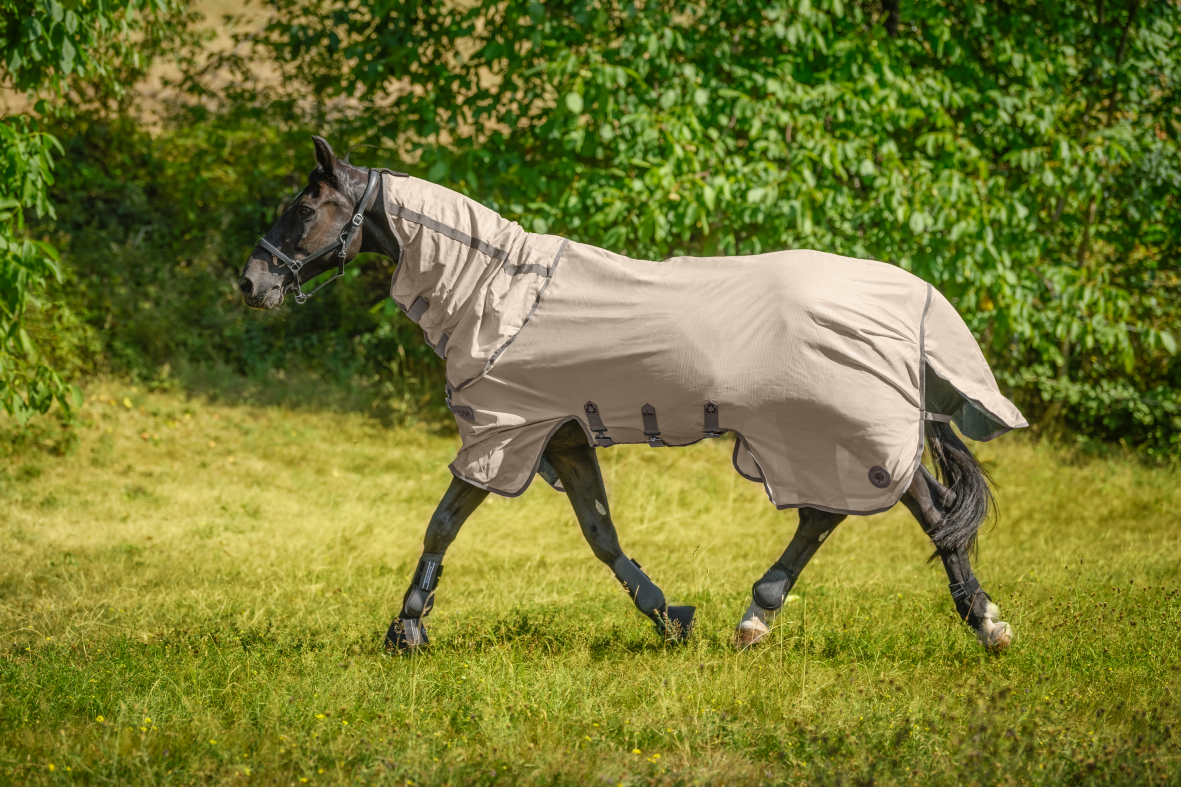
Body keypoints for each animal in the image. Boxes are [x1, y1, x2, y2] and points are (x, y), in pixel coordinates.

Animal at [239, 136, 1021, 654]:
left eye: (305, 209)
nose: (252, 282)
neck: (495, 294)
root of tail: (906, 300)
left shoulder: (503, 435)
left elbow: (442, 523)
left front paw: (407, 627)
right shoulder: (560, 436)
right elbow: (600, 534)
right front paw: (667, 615)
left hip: (833, 426)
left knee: (910, 509)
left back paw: (980, 624)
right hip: (815, 430)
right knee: (841, 512)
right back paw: (759, 618)